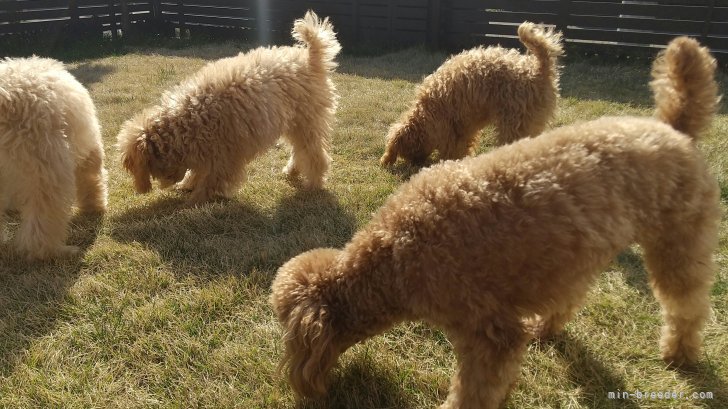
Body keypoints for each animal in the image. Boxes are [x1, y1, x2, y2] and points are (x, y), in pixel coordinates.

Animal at [0, 56, 108, 258]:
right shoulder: (89, 152)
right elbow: (92, 182)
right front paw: (95, 208)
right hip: (49, 173)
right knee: (42, 225)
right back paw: (57, 251)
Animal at [118, 11, 342, 206]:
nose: (164, 186)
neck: (186, 120)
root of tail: (311, 59)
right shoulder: (209, 150)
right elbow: (199, 171)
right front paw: (188, 185)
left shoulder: (224, 156)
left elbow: (210, 180)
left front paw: (193, 201)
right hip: (295, 124)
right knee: (300, 150)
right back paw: (292, 171)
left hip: (307, 122)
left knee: (314, 155)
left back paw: (313, 184)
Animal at [382, 21, 564, 166]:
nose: (416, 164)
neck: (425, 113)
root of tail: (538, 70)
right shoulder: (464, 129)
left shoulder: (451, 131)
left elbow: (453, 150)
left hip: (514, 123)